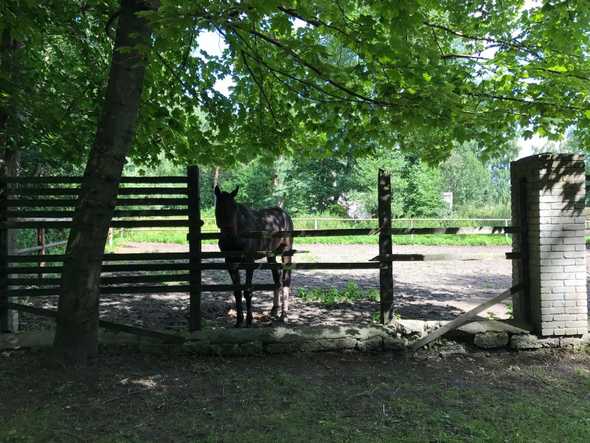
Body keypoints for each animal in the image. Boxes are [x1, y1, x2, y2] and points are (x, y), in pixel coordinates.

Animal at [214, 186, 294, 328]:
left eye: (234, 207)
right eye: (219, 206)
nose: (228, 235)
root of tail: (284, 214)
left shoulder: (249, 261)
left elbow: (247, 290)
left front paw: (249, 320)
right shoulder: (230, 263)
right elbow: (237, 292)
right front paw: (239, 320)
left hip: (286, 253)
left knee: (285, 281)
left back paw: (284, 315)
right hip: (271, 255)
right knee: (277, 280)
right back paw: (274, 310)